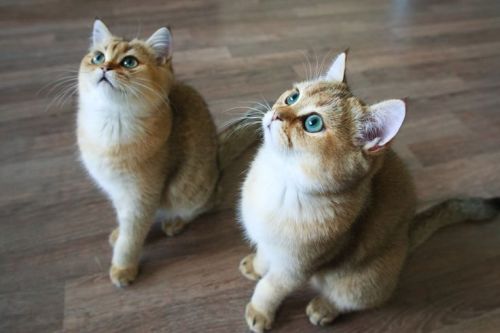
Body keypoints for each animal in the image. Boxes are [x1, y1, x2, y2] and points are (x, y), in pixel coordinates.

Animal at [78, 19, 258, 286]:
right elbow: (124, 223)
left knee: (209, 202)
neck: (111, 122)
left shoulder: (141, 196)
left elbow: (132, 237)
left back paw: (176, 221)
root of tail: (217, 161)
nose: (105, 67)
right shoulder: (118, 191)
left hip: (187, 190)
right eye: (98, 56)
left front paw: (123, 267)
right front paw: (119, 233)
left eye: (129, 62)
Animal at [238, 50, 500, 330]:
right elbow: (264, 255)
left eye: (313, 123)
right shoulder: (269, 244)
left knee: (353, 299)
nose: (275, 113)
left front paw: (260, 312)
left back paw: (323, 308)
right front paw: (256, 266)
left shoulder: (294, 268)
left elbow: (270, 288)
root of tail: (406, 239)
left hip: (363, 280)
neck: (281, 181)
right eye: (293, 97)